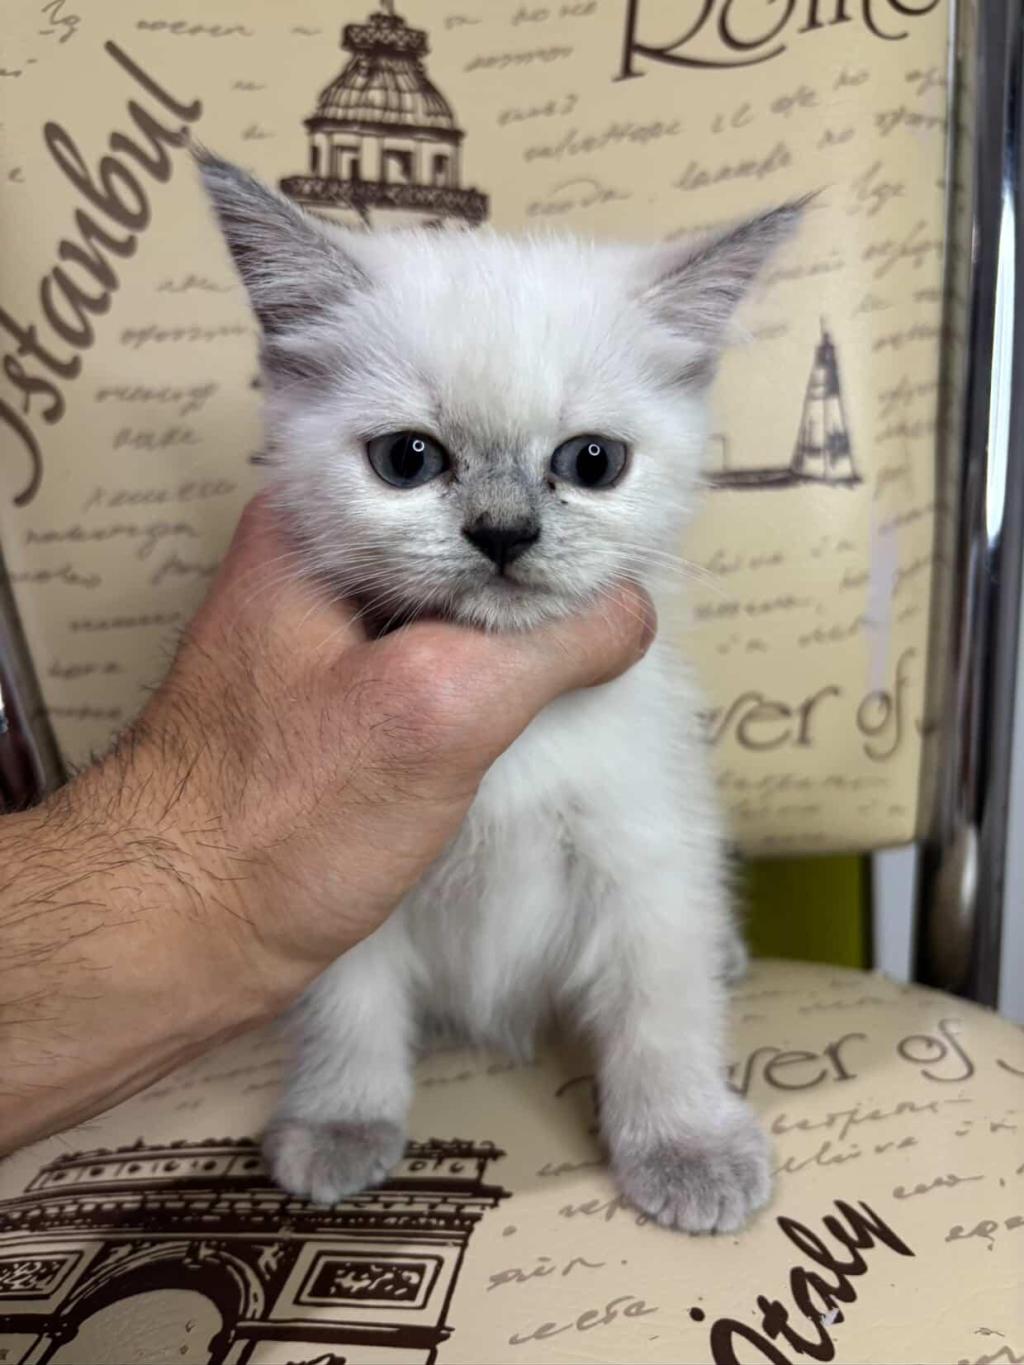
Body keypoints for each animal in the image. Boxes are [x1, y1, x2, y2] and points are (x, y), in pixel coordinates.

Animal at [199, 150, 804, 1233]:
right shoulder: (352, 877)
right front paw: (340, 1120)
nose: (503, 533)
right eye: (406, 458)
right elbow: (348, 1006)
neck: (513, 732)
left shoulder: (642, 850)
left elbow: (659, 1007)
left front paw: (686, 1144)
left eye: (592, 461)